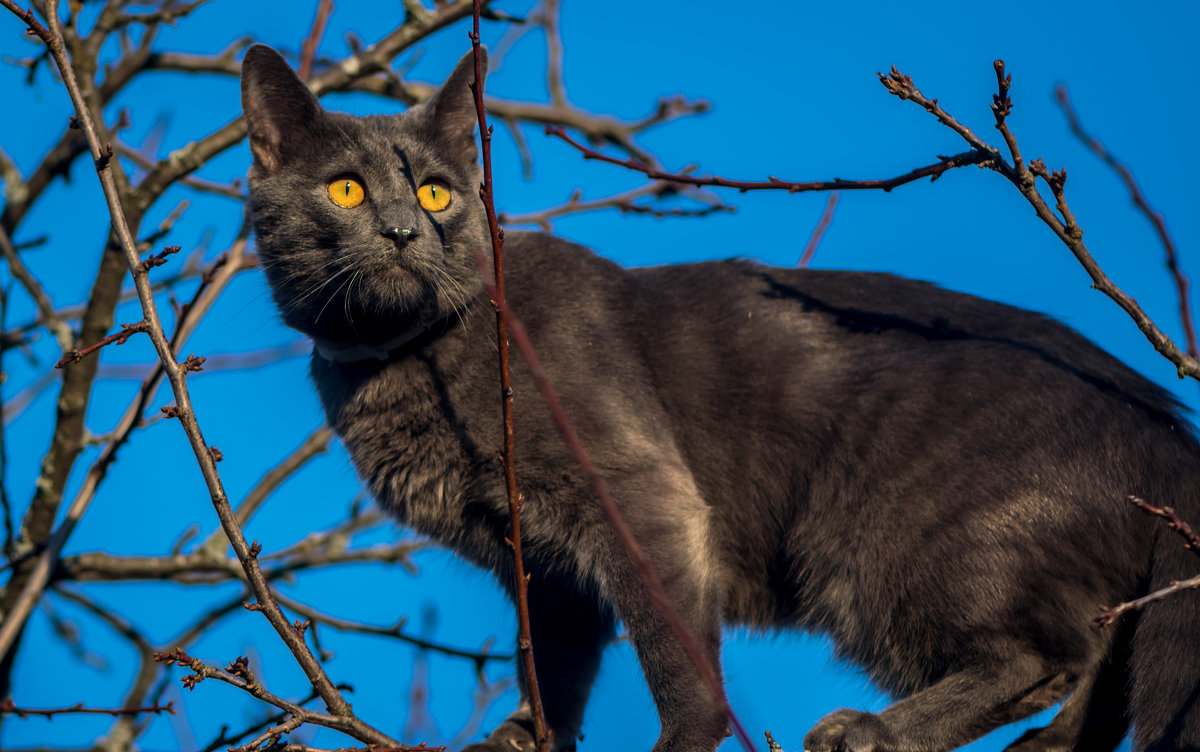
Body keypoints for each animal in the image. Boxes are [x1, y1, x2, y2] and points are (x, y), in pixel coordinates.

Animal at [238, 45, 1200, 752]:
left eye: (437, 191)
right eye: (347, 189)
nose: (406, 230)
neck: (405, 361)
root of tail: (1168, 431)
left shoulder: (639, 495)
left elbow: (674, 654)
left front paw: (678, 743)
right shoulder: (537, 560)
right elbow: (550, 661)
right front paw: (524, 739)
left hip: (884, 538)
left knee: (1048, 653)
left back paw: (874, 731)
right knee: (1105, 649)